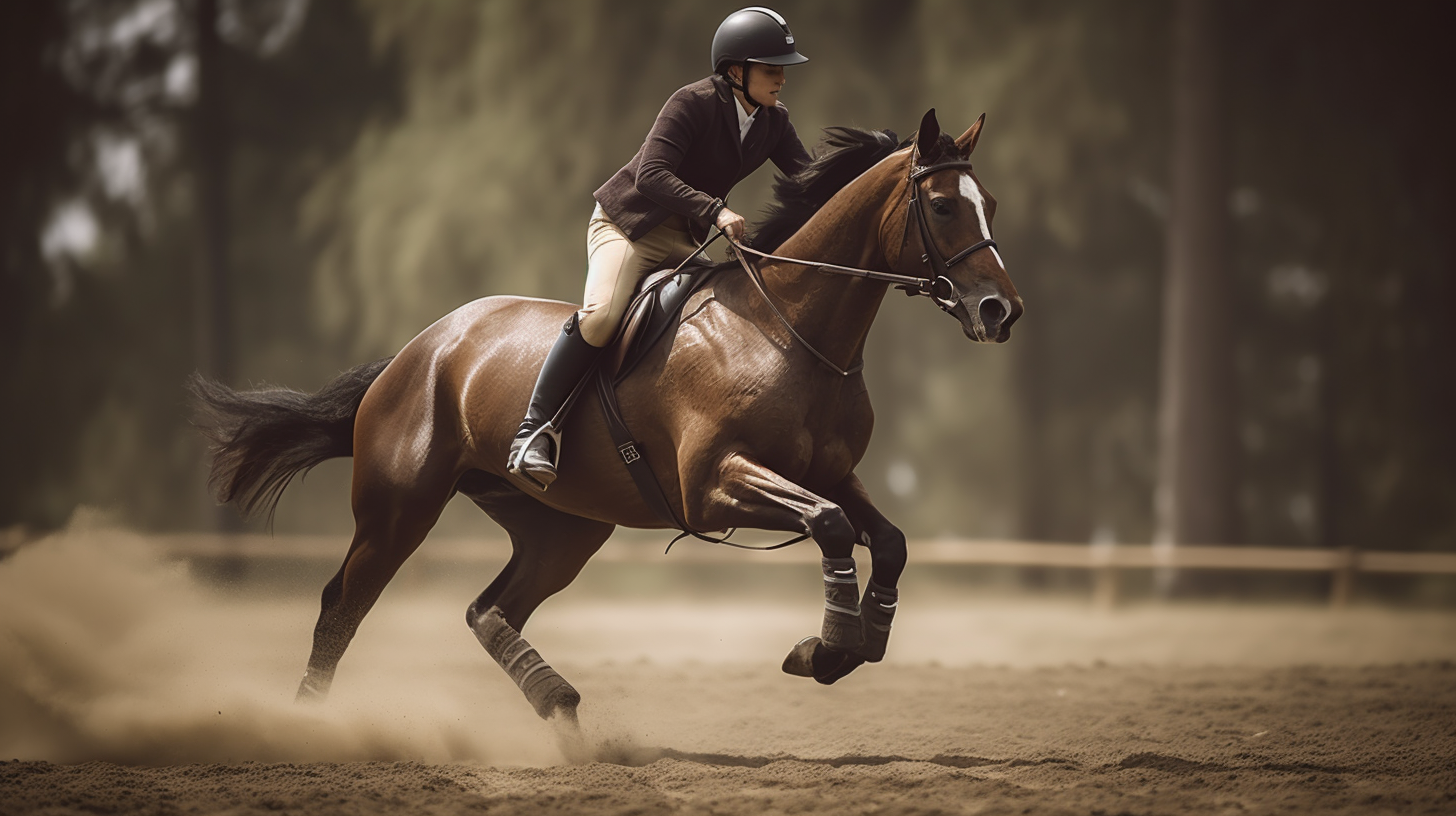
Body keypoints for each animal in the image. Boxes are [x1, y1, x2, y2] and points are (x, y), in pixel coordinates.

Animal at [190, 108, 1025, 719]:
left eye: (989, 205)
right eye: (943, 206)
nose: (1001, 311)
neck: (789, 325)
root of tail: (413, 354)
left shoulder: (830, 471)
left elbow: (884, 536)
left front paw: (859, 640)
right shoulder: (714, 485)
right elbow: (831, 526)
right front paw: (825, 648)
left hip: (563, 529)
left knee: (488, 609)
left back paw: (558, 705)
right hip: (399, 508)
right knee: (342, 606)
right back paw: (309, 721)